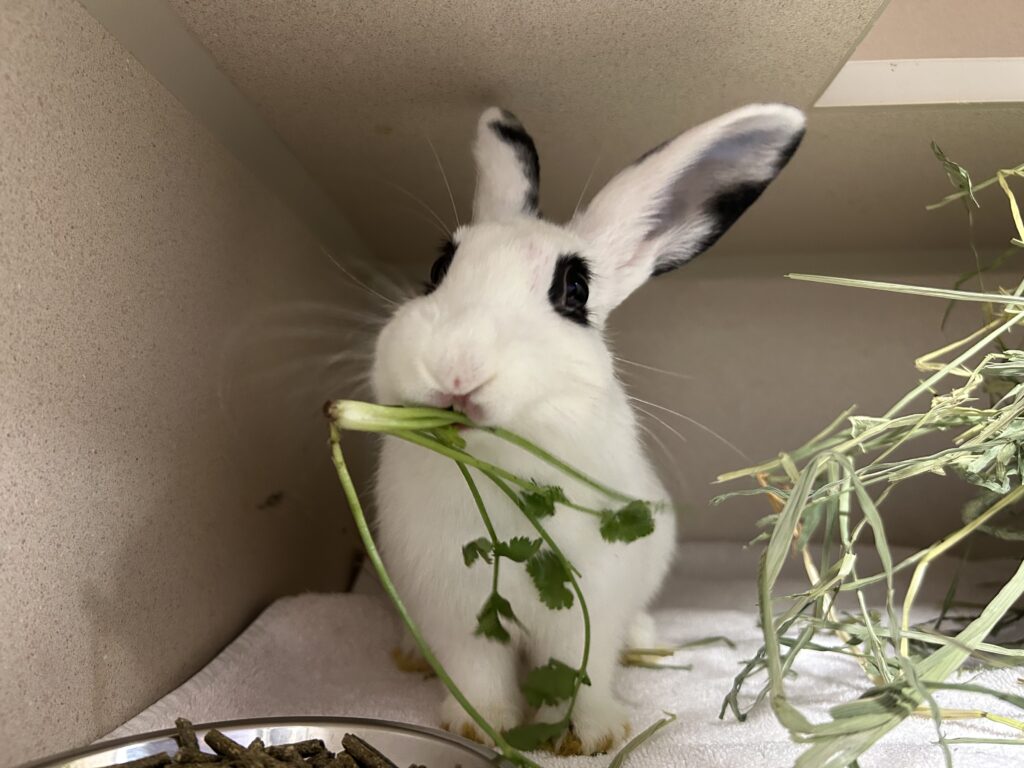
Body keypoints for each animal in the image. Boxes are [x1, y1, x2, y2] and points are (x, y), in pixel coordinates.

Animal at [371, 103, 805, 755]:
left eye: (574, 291)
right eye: (438, 267)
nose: (456, 368)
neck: (499, 466)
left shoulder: (590, 604)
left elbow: (585, 666)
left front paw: (594, 736)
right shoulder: (453, 603)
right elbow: (476, 669)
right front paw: (480, 724)